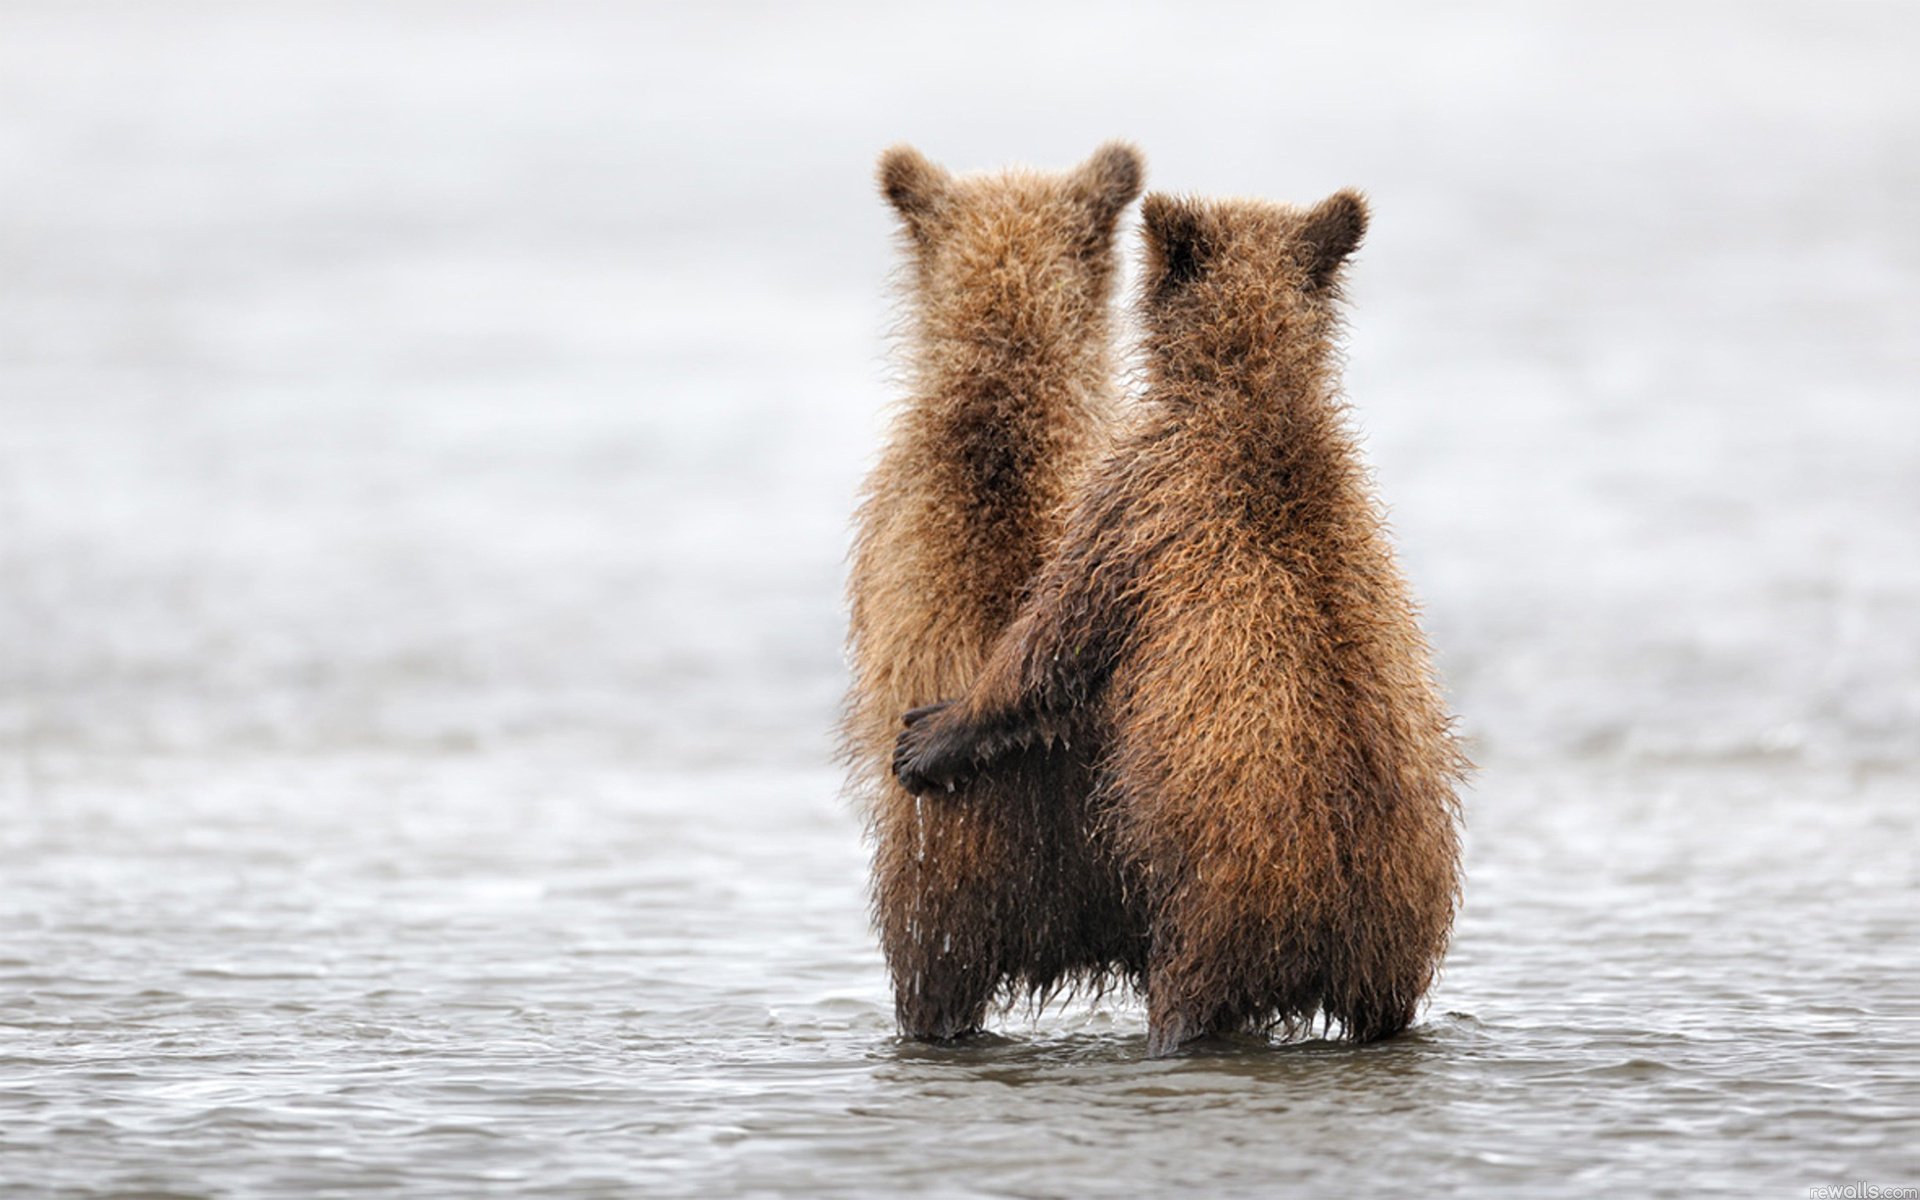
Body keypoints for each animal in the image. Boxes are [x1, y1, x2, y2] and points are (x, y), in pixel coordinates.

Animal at [890, 185, 1459, 1044]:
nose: (918, 739)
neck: (1250, 393)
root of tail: (1342, 918)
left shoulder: (1137, 500)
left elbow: (1056, 641)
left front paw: (931, 732)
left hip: (1216, 902)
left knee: (1186, 996)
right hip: (1395, 939)